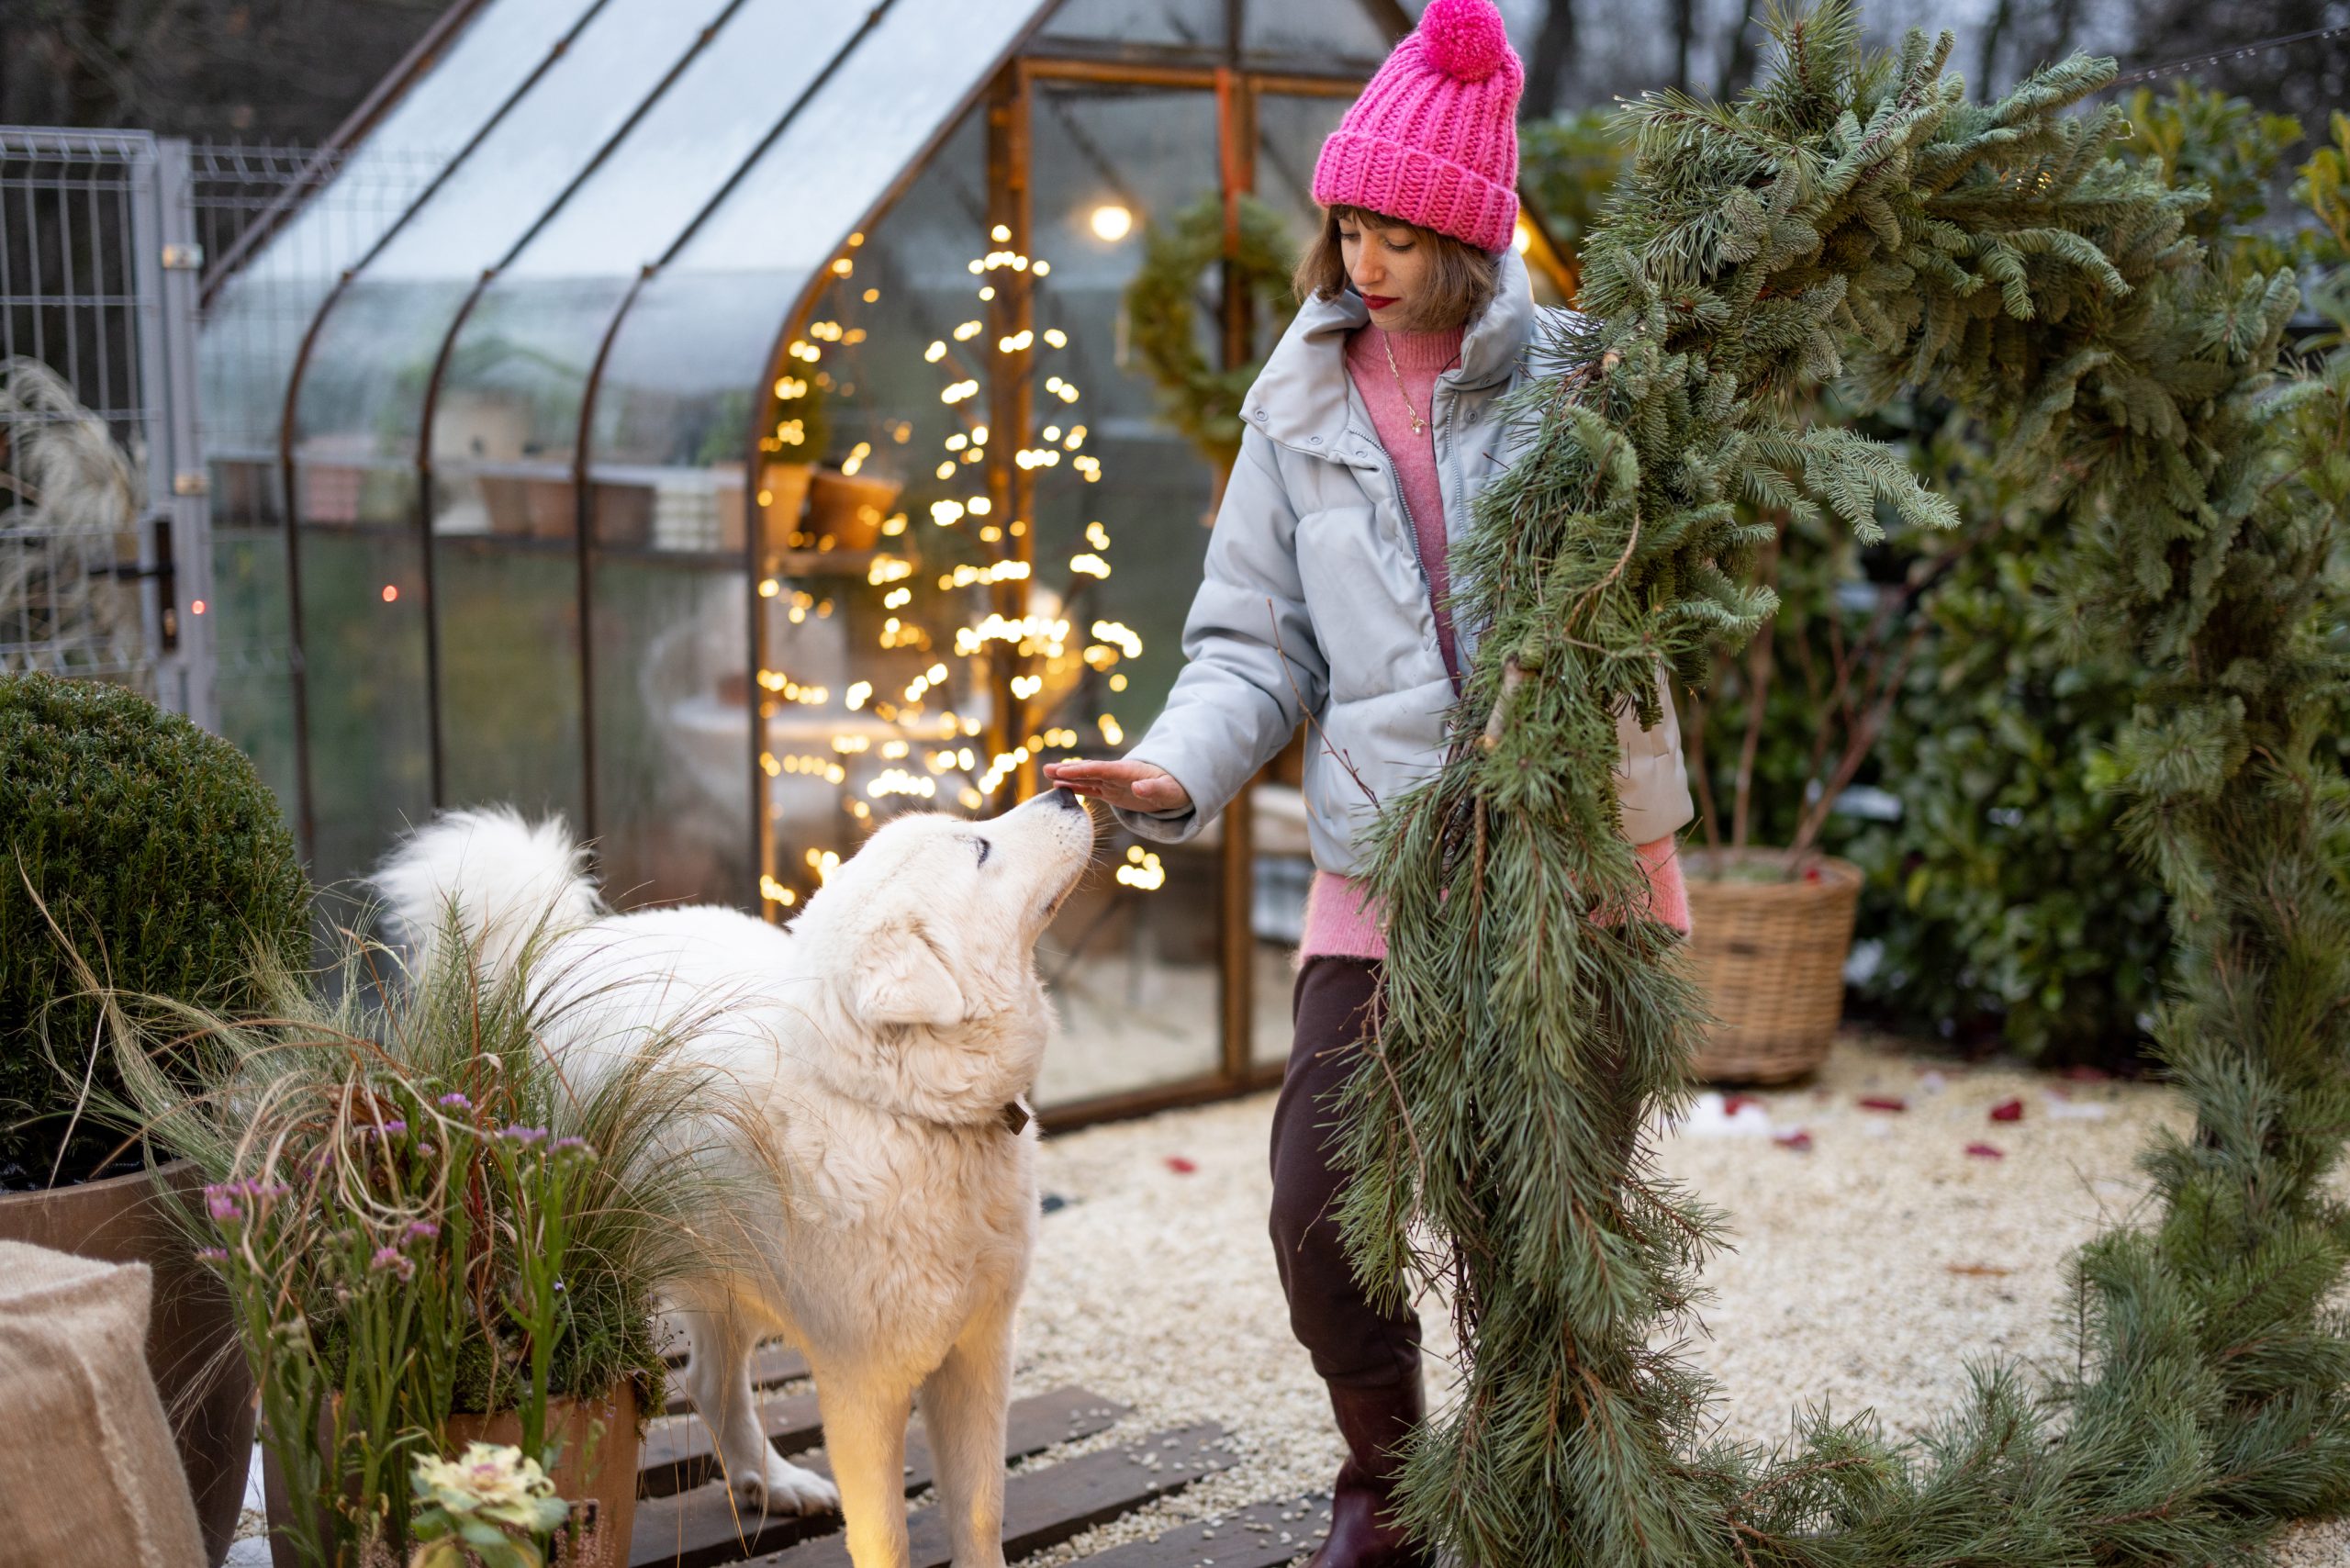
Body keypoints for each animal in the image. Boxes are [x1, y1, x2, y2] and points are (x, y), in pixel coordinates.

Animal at [368, 790, 1100, 1561]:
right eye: (979, 848)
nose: (1064, 791)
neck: (900, 1109)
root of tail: (556, 944)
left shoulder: (979, 1351)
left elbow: (980, 1513)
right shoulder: (864, 1384)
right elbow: (885, 1536)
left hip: (729, 1279)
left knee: (712, 1383)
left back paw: (772, 1481)